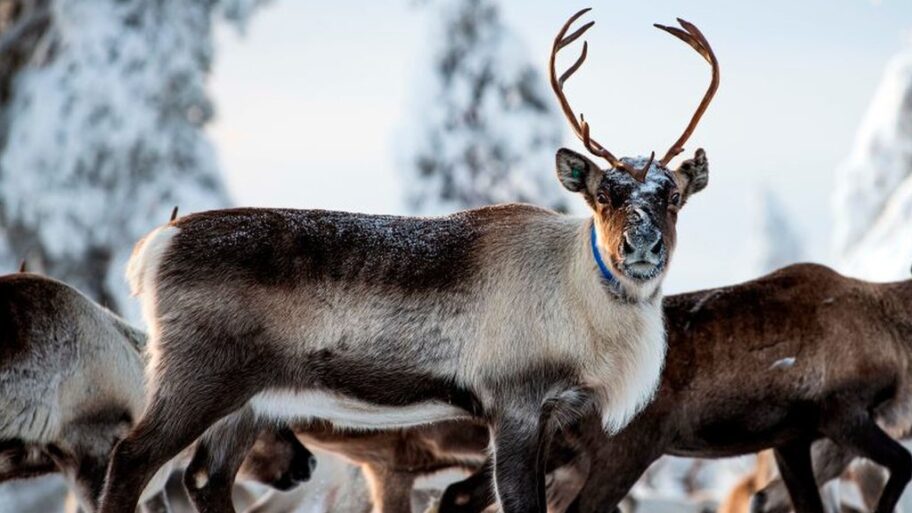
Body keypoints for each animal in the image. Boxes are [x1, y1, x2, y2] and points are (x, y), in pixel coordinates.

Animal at [96, 7, 719, 513]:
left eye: (672, 197)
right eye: (603, 196)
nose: (640, 246)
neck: (579, 296)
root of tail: (155, 245)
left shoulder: (553, 413)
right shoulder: (515, 404)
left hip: (251, 400)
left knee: (206, 479)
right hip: (197, 375)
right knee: (131, 459)